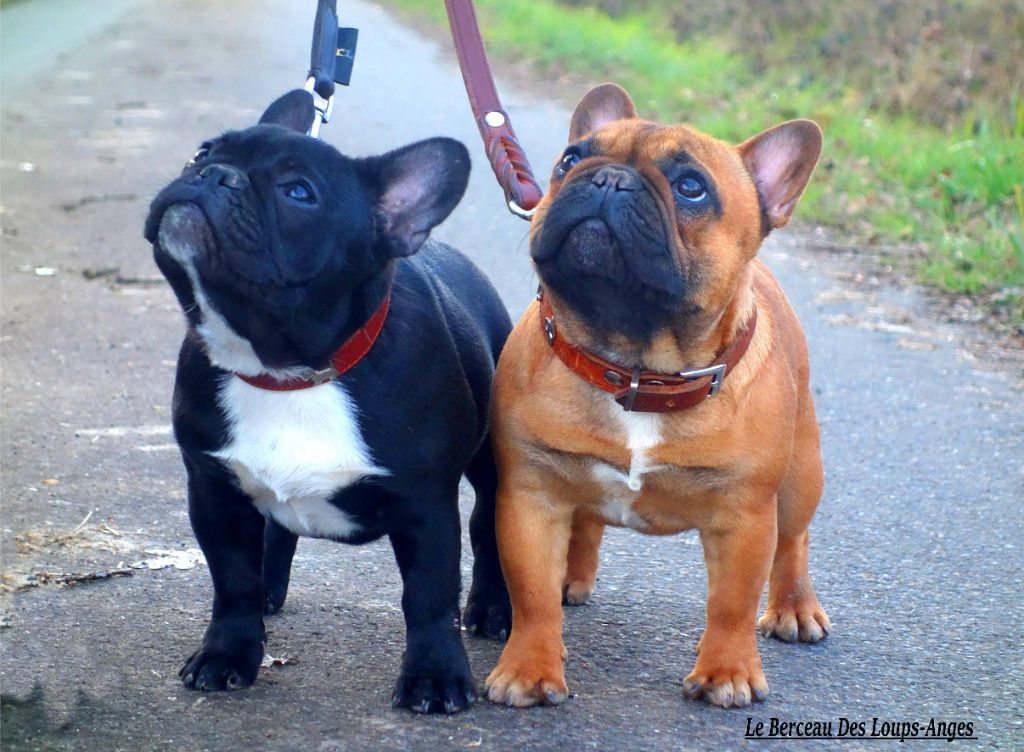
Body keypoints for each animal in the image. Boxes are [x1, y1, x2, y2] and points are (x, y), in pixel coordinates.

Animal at [143, 89, 512, 714]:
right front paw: (227, 653)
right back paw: (270, 588)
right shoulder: (214, 489)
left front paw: (435, 677)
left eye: (299, 193)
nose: (214, 174)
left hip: (494, 461)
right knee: (274, 533)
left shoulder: (424, 505)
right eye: (204, 149)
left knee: (488, 523)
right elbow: (231, 581)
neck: (286, 371)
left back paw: (491, 608)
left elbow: (428, 596)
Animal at [484, 83, 830, 709]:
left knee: (793, 540)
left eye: (692, 186)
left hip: (799, 475)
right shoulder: (530, 497)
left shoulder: (744, 516)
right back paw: (572, 576)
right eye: (570, 159)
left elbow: (732, 603)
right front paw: (529, 668)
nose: (606, 178)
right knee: (585, 523)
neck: (636, 368)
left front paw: (727, 673)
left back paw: (794, 607)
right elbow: (532, 594)